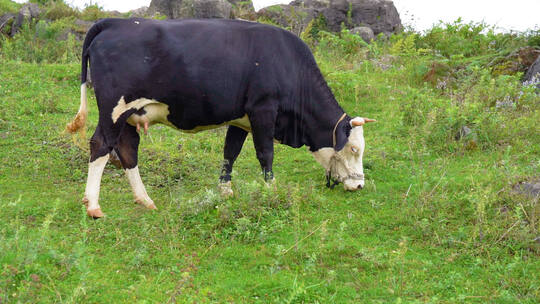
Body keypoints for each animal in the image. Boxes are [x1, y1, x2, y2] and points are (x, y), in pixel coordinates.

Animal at [65, 17, 376, 217]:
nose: (360, 184)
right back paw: (94, 206)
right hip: (114, 110)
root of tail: (115, 22)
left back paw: (145, 200)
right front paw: (272, 191)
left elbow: (231, 152)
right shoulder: (263, 110)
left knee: (128, 151)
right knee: (100, 145)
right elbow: (265, 154)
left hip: (131, 116)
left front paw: (225, 191)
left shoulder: (241, 119)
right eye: (354, 149)